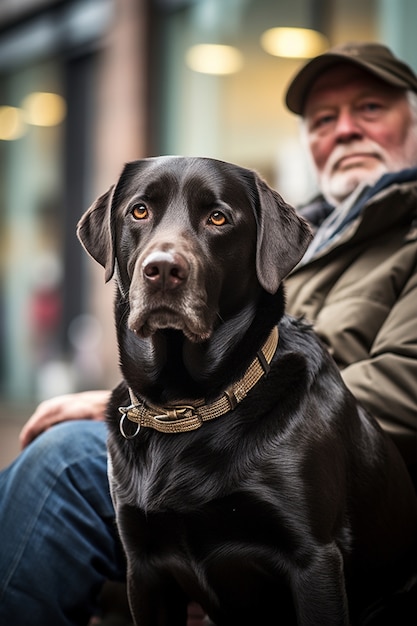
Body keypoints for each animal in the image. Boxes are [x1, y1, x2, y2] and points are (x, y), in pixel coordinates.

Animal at [78, 155, 416, 620]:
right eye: (139, 211)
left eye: (218, 218)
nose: (162, 270)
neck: (186, 405)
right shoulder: (143, 567)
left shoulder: (315, 559)